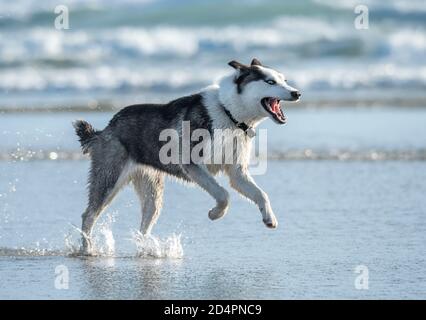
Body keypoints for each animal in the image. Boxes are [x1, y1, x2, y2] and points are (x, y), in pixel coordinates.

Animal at [73, 58, 300, 255]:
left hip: (152, 194)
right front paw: (215, 214)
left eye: (285, 80)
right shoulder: (192, 164)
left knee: (144, 224)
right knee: (88, 214)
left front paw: (269, 218)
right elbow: (223, 194)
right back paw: (88, 249)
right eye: (270, 82)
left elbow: (261, 194)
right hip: (109, 180)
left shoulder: (237, 173)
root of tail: (106, 128)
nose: (297, 93)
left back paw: (147, 250)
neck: (228, 113)